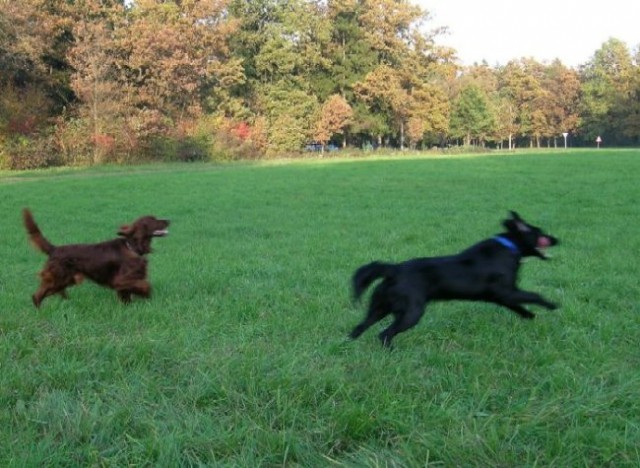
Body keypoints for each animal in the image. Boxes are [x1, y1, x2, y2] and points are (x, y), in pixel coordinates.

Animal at [23, 208, 170, 308]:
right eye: (153, 220)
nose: (168, 220)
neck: (131, 247)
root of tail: (54, 249)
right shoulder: (121, 279)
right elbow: (144, 285)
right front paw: (146, 294)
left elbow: (127, 295)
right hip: (57, 278)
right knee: (37, 295)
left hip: (65, 279)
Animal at [352, 212, 556, 348]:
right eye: (541, 232)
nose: (557, 239)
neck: (509, 246)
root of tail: (394, 270)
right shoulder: (507, 292)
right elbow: (534, 295)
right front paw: (552, 305)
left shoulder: (502, 297)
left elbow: (518, 306)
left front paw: (529, 315)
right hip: (411, 312)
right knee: (384, 334)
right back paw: (391, 351)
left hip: (379, 308)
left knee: (358, 328)